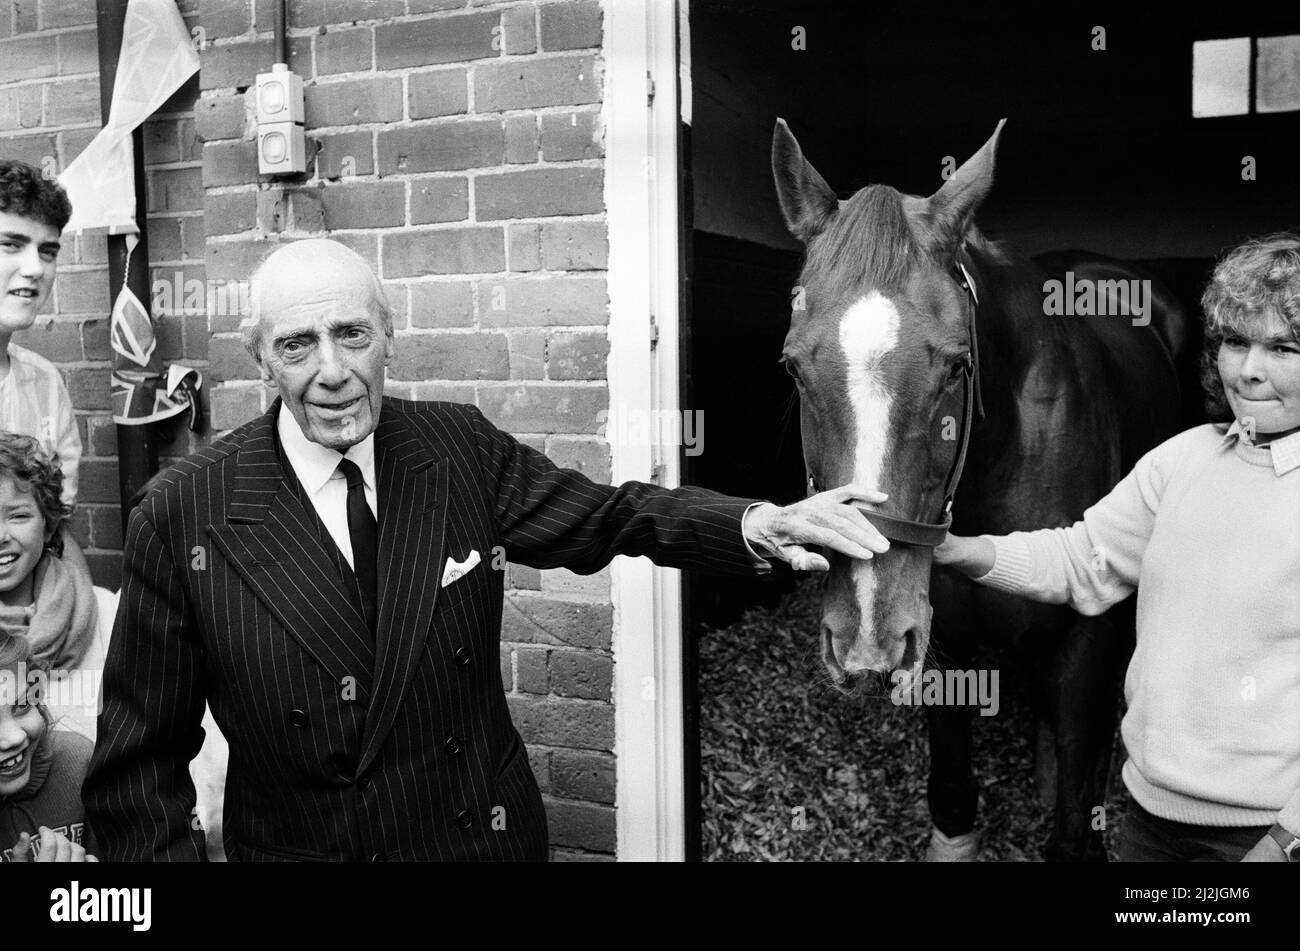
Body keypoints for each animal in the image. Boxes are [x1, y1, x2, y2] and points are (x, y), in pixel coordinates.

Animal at [764, 118, 1190, 862]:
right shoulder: (940, 641)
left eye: (958, 367)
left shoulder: (1088, 646)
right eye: (793, 366)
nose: (865, 634)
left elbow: (1073, 824)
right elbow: (953, 798)